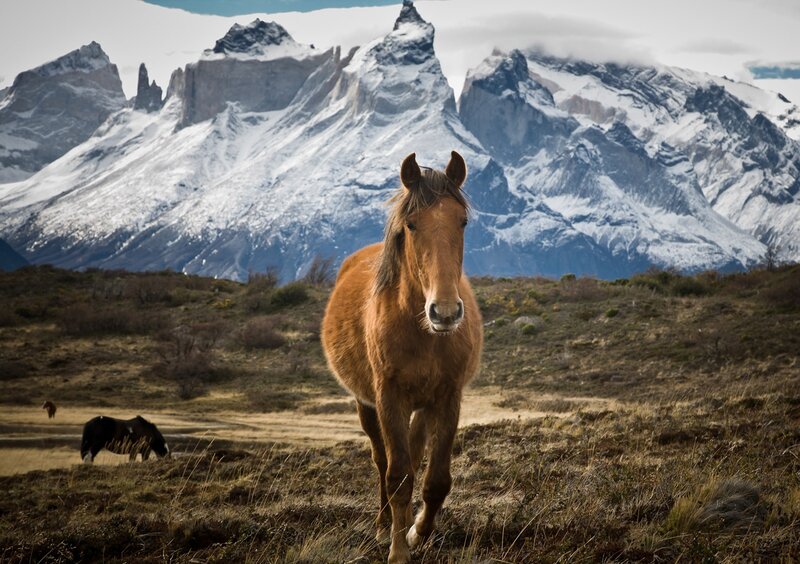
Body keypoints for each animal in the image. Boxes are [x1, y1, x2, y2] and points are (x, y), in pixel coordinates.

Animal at [321, 151, 483, 564]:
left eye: (462, 221)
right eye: (411, 224)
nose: (445, 312)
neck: (423, 333)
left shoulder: (448, 397)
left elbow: (436, 480)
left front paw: (417, 534)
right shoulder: (388, 397)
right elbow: (397, 478)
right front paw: (397, 550)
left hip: (422, 405)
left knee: (413, 451)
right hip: (366, 404)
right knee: (382, 461)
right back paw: (382, 526)